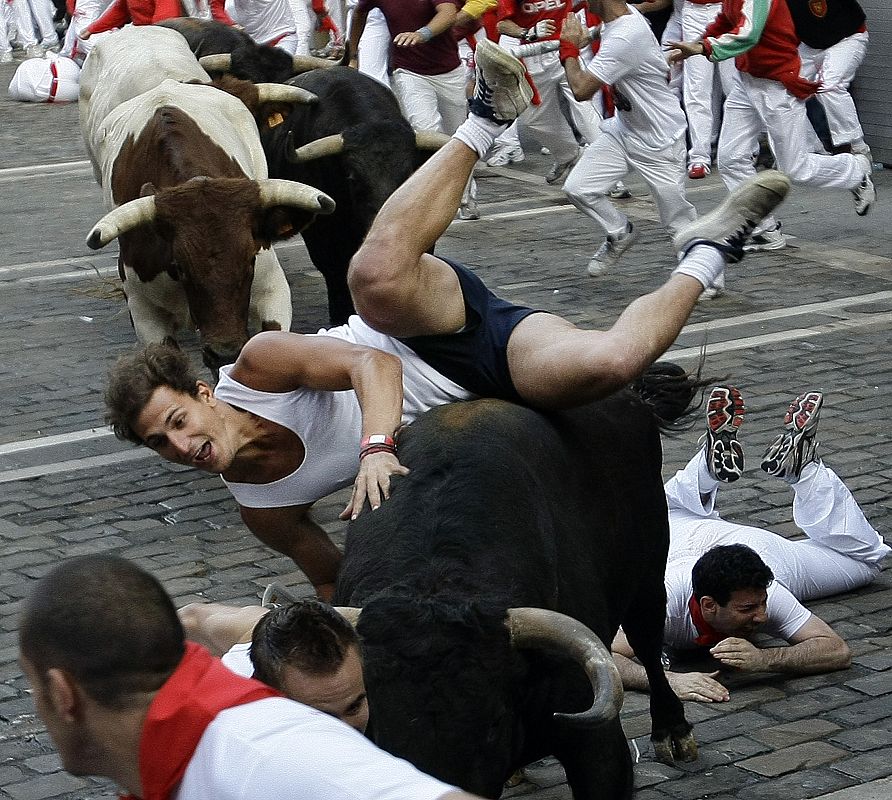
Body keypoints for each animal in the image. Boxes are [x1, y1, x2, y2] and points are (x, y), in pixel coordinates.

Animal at [332, 394, 696, 800]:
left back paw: (672, 731)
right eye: (382, 728)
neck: (438, 576)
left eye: (494, 722)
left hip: (650, 573)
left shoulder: (596, 743)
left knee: (647, 643)